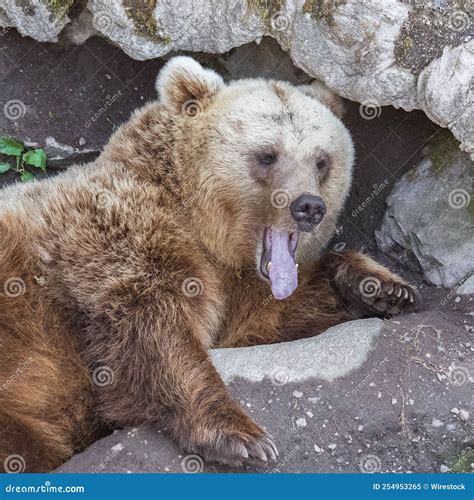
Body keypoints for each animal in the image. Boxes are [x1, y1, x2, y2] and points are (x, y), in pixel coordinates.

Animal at [0, 56, 418, 470]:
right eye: (267, 155)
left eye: (321, 161)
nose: (309, 206)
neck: (200, 224)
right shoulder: (117, 236)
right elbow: (156, 331)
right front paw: (242, 437)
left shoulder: (235, 285)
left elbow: (264, 318)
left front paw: (383, 288)